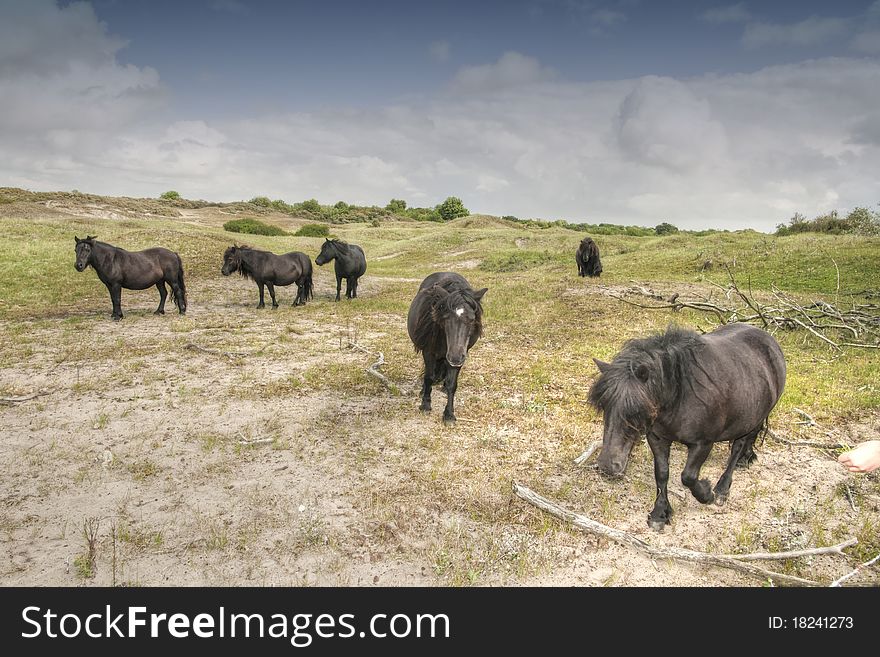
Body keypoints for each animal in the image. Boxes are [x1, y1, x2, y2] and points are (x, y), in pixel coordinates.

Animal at [408, 272, 488, 426]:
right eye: (445, 319)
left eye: (471, 319)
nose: (455, 357)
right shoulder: (428, 352)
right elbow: (429, 377)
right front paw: (425, 405)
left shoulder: (462, 354)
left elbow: (452, 384)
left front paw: (449, 414)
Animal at [592, 324, 784, 532]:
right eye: (604, 406)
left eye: (635, 411)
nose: (607, 466)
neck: (680, 395)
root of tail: (769, 340)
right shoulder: (657, 438)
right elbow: (661, 474)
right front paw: (660, 513)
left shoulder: (703, 443)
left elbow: (688, 477)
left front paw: (707, 493)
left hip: (752, 419)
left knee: (738, 447)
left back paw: (722, 489)